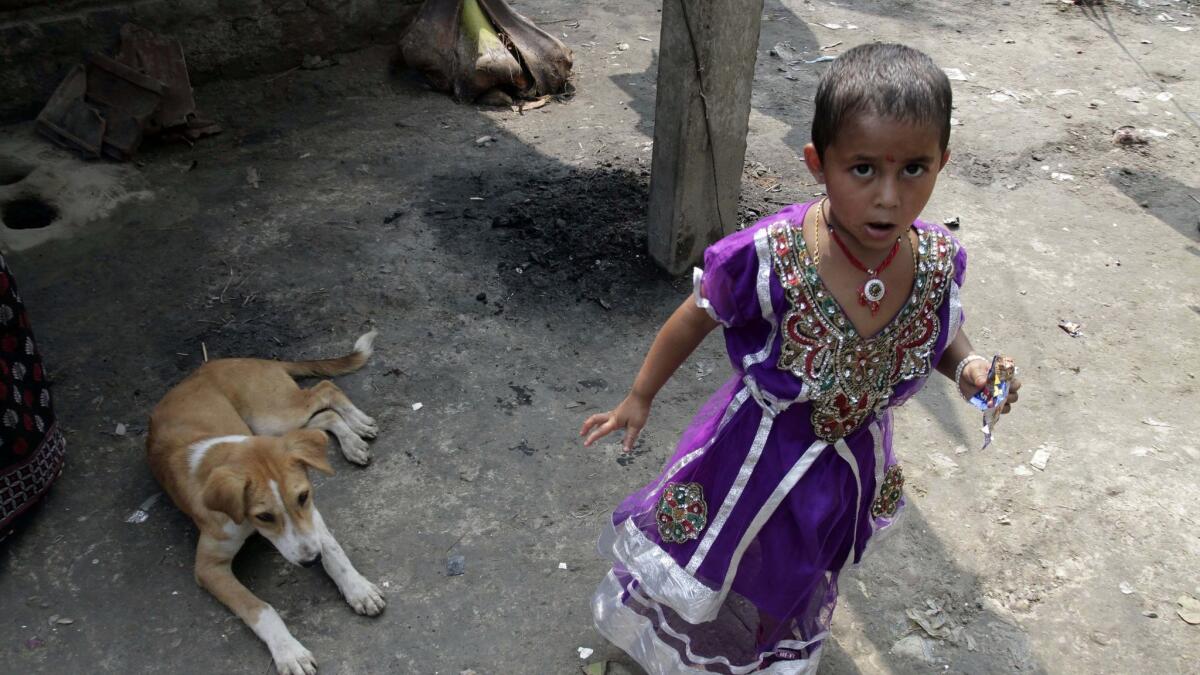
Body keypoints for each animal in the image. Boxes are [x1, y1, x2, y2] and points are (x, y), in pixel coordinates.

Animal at [147, 331, 386, 672]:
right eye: (264, 516)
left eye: (303, 496)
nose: (309, 561)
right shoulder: (208, 568)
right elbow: (260, 609)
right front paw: (290, 652)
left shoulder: (310, 514)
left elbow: (333, 550)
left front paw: (359, 589)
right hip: (273, 424)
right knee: (321, 416)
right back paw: (352, 437)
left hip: (274, 415)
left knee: (325, 390)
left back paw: (358, 424)